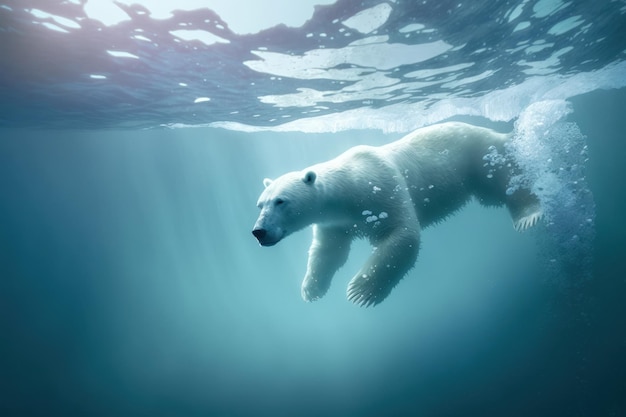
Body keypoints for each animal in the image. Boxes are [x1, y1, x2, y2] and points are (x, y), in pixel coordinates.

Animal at [251, 120, 540, 306]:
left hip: (480, 157)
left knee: (506, 183)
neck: (346, 188)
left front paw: (360, 291)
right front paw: (311, 289)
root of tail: (496, 133)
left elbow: (403, 234)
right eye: (260, 204)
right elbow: (328, 252)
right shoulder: (335, 222)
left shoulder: (381, 188)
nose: (259, 232)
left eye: (281, 201)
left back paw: (529, 215)